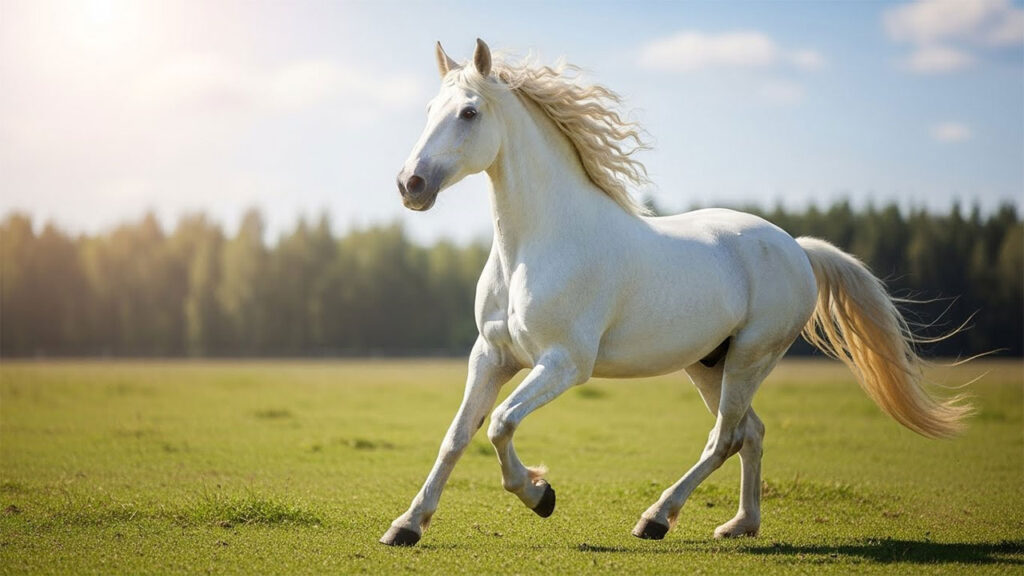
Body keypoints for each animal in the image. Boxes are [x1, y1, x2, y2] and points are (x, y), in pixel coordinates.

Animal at [380, 39, 970, 547]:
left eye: (469, 112)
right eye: (430, 107)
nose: (411, 185)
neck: (534, 244)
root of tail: (797, 249)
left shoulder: (566, 363)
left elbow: (500, 424)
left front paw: (540, 495)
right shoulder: (491, 355)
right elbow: (458, 435)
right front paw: (407, 525)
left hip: (751, 356)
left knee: (725, 437)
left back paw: (656, 518)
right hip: (710, 364)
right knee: (751, 432)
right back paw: (740, 525)